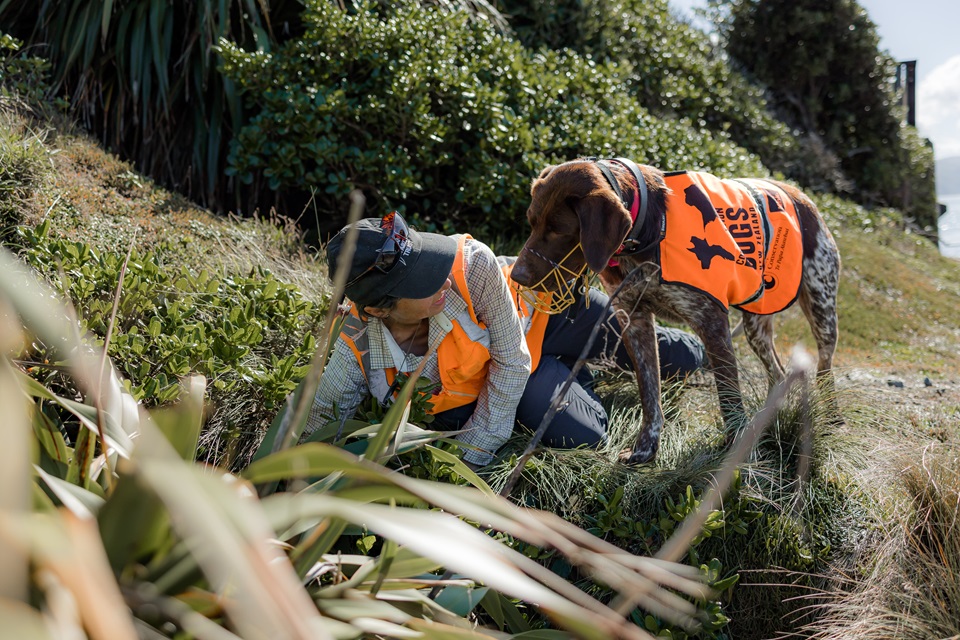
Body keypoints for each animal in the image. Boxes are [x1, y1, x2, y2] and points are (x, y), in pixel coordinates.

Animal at [510, 158, 840, 462]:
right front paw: (645, 449)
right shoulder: (635, 320)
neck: (647, 232)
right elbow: (649, 393)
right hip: (756, 327)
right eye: (532, 221)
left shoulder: (711, 323)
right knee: (778, 373)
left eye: (559, 230)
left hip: (821, 310)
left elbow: (729, 398)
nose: (516, 276)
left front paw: (738, 463)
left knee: (824, 367)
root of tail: (800, 195)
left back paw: (831, 417)